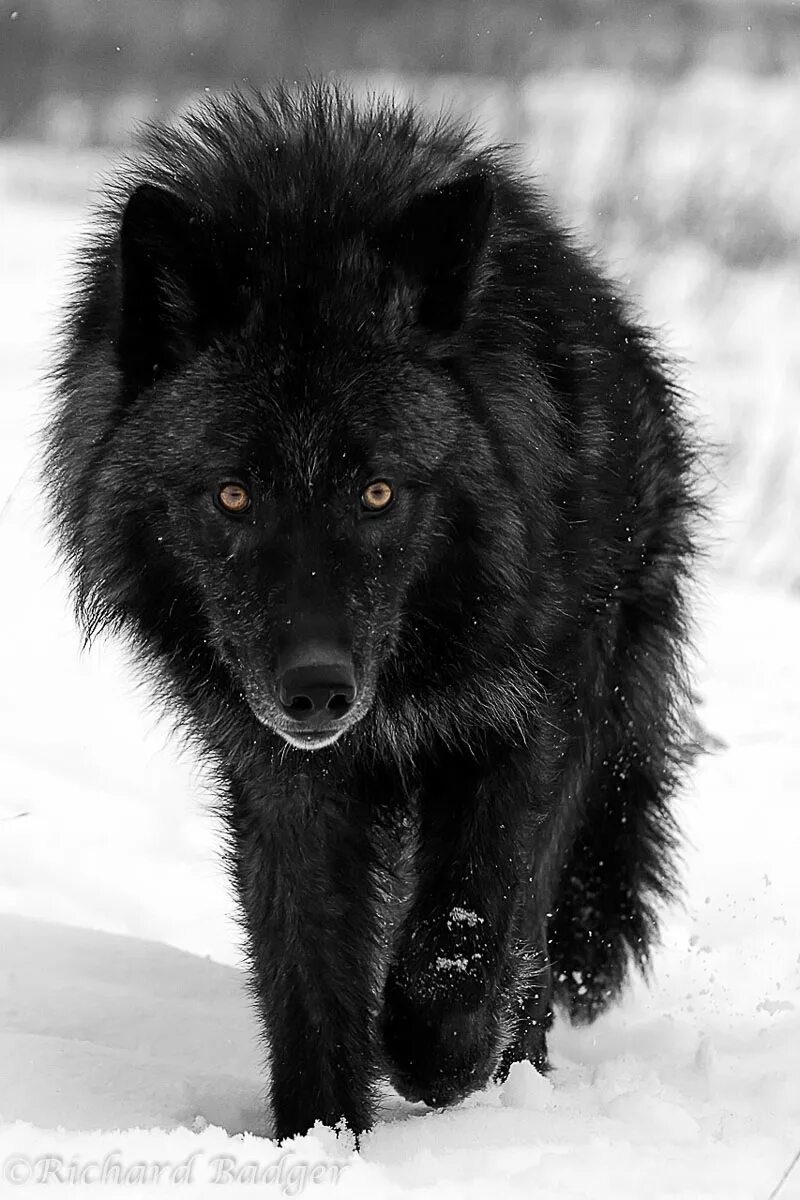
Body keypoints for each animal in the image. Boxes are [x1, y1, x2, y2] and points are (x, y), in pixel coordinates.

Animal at [43, 87, 695, 1142]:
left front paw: (438, 1061)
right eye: (233, 496)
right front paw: (319, 1143)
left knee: (531, 945)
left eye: (379, 493)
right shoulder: (283, 778)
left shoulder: (532, 727)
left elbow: (469, 946)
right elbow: (308, 981)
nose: (316, 690)